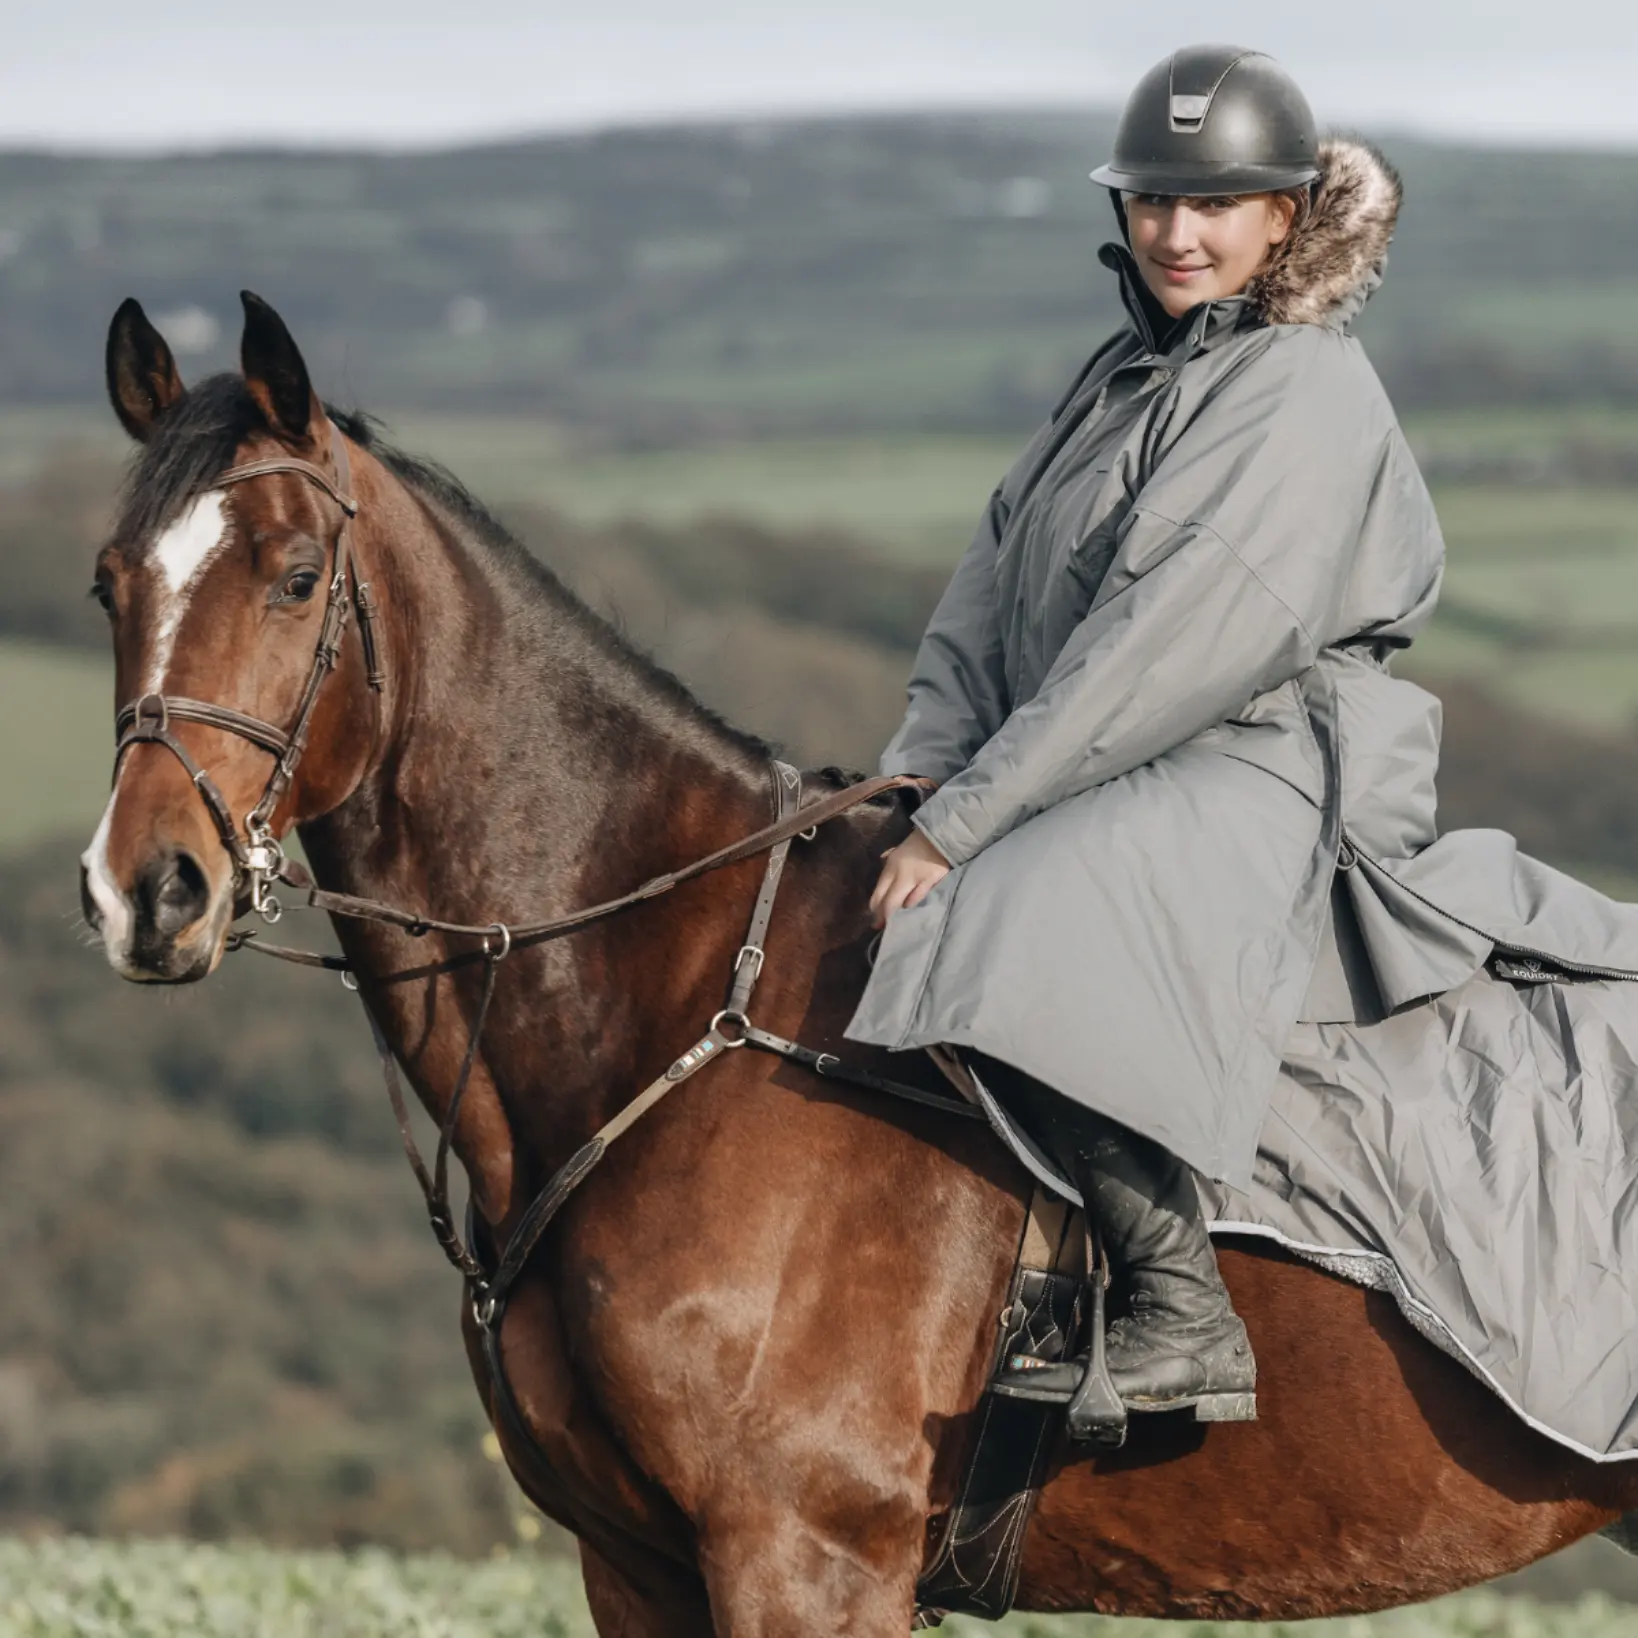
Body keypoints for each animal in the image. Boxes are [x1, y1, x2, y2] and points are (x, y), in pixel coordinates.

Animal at [83, 291, 1638, 1624]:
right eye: (107, 586)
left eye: (295, 579)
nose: (143, 892)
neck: (670, 1008)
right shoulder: (635, 1567)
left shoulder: (804, 1553)